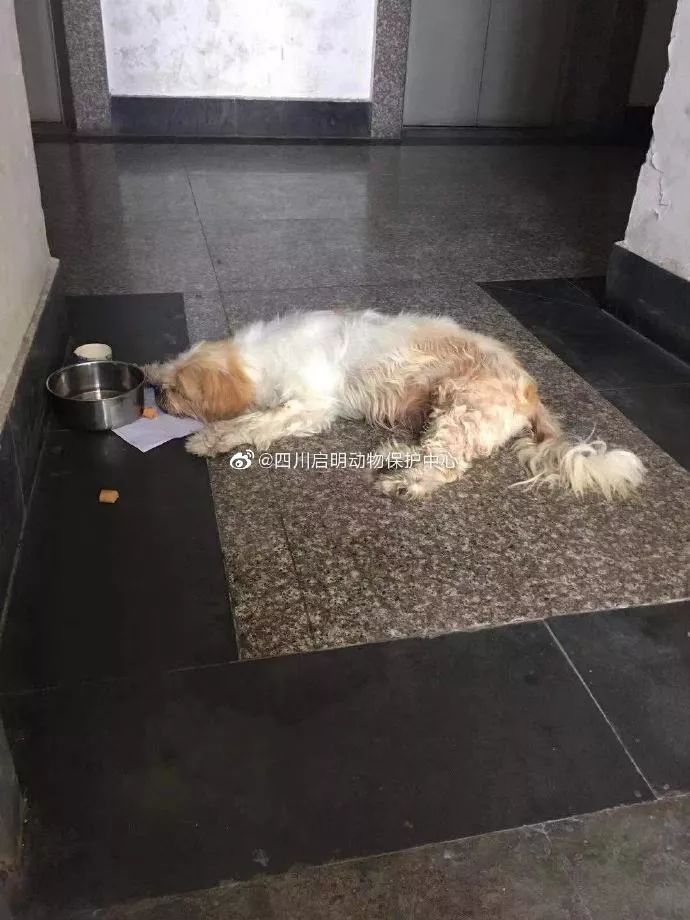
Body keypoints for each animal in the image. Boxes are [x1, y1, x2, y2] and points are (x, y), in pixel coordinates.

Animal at [144, 309, 645, 500]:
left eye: (181, 390)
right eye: (168, 378)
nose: (157, 390)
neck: (262, 358)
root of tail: (531, 389)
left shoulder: (309, 405)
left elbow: (253, 423)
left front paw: (209, 439)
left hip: (461, 407)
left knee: (446, 465)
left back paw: (404, 483)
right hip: (442, 411)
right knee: (430, 449)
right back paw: (389, 455)